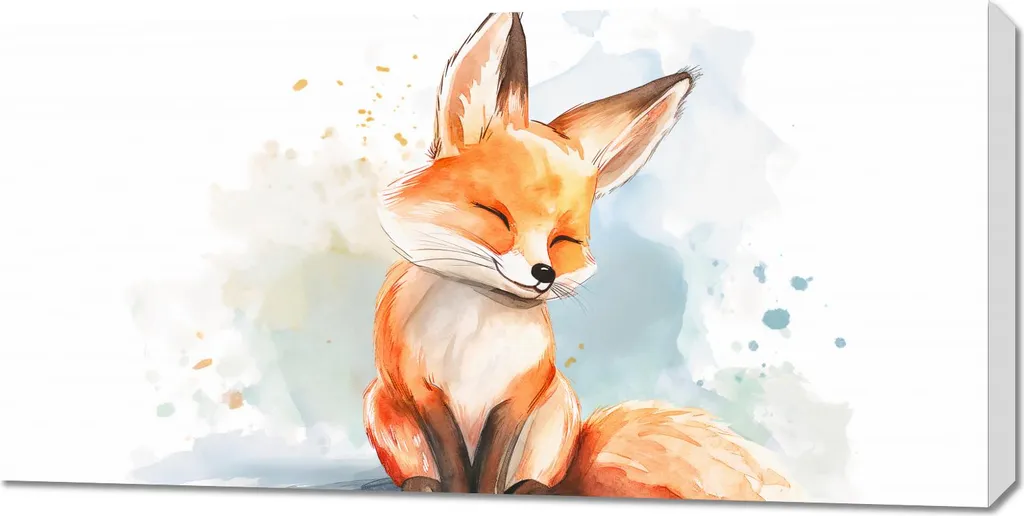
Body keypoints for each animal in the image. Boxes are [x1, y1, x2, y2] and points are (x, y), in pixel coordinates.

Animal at [363, 12, 802, 501]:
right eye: (495, 215)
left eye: (564, 241)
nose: (543, 273)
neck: (476, 325)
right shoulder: (424, 394)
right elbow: (455, 463)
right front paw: (458, 492)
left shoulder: (517, 396)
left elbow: (493, 466)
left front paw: (489, 494)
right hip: (381, 408)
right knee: (422, 468)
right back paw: (421, 485)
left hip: (558, 411)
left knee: (543, 480)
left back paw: (531, 490)